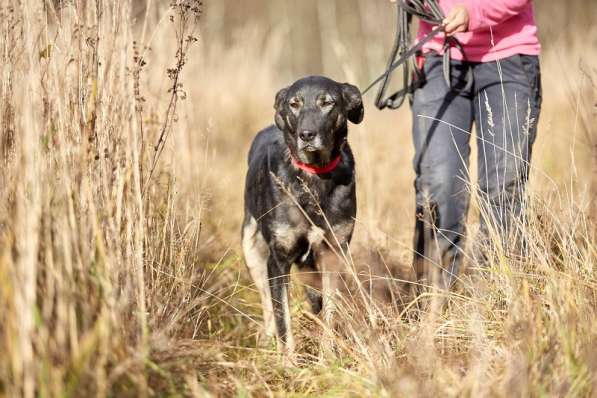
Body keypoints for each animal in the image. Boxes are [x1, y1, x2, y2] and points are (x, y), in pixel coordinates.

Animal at [241, 75, 364, 352]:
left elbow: (329, 312)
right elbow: (283, 319)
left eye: (327, 103)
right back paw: (266, 339)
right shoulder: (278, 261)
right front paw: (288, 359)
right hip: (251, 249)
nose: (306, 134)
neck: (314, 175)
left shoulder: (333, 254)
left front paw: (328, 355)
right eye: (294, 104)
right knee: (267, 304)